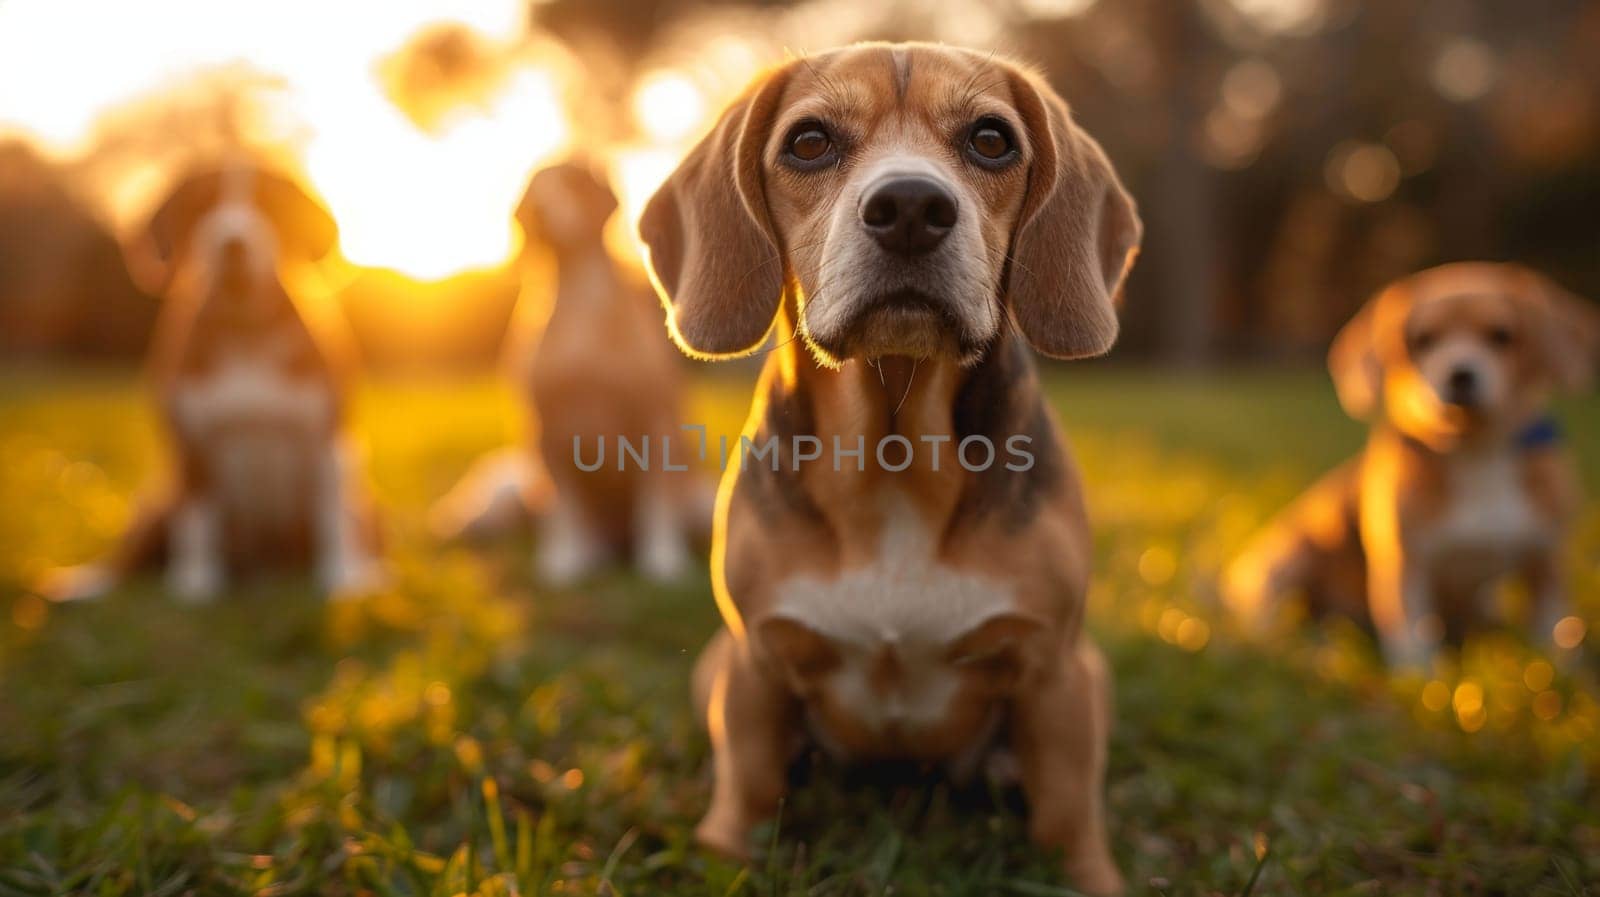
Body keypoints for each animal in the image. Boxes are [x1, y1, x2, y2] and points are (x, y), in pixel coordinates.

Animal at [40, 165, 384, 604]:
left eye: (266, 203)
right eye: (202, 205)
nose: (232, 243)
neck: (244, 332)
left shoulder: (327, 440)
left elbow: (333, 518)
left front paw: (342, 579)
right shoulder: (191, 443)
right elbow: (198, 519)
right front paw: (196, 585)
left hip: (363, 500)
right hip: (157, 501)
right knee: (129, 557)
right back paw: (85, 583)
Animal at [428, 161, 704, 588]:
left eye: (569, 182)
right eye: (533, 192)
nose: (536, 212)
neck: (579, 306)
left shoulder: (656, 421)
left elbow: (656, 504)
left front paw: (663, 562)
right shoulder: (546, 428)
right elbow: (563, 511)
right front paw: (565, 561)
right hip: (505, 496)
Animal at [636, 43, 1139, 895]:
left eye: (991, 140)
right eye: (809, 142)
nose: (909, 205)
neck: (893, 449)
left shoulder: (1054, 673)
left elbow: (1068, 809)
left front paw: (1088, 875)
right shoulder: (756, 662)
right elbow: (748, 782)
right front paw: (723, 855)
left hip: (1093, 672)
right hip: (716, 665)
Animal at [1228, 262, 1593, 668]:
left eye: (1501, 335)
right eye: (1424, 339)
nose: (1459, 374)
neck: (1476, 451)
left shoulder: (1547, 559)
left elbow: (1551, 628)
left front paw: (1563, 670)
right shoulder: (1406, 563)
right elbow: (1412, 637)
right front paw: (1422, 678)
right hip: (1287, 563)